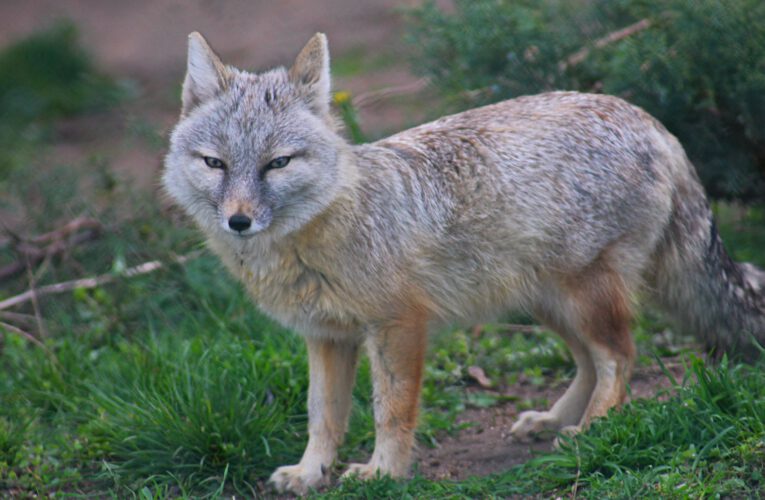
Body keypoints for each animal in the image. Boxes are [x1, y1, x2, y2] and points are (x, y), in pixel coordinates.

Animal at [163, 33, 764, 494]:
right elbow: (322, 417)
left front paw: (384, 472)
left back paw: (593, 429)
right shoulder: (327, 337)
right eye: (215, 164)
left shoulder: (398, 326)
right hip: (544, 304)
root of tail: (650, 120)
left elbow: (390, 410)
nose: (239, 220)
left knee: (620, 357)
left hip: (582, 297)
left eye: (277, 163)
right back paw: (553, 420)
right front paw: (311, 473)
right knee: (591, 363)